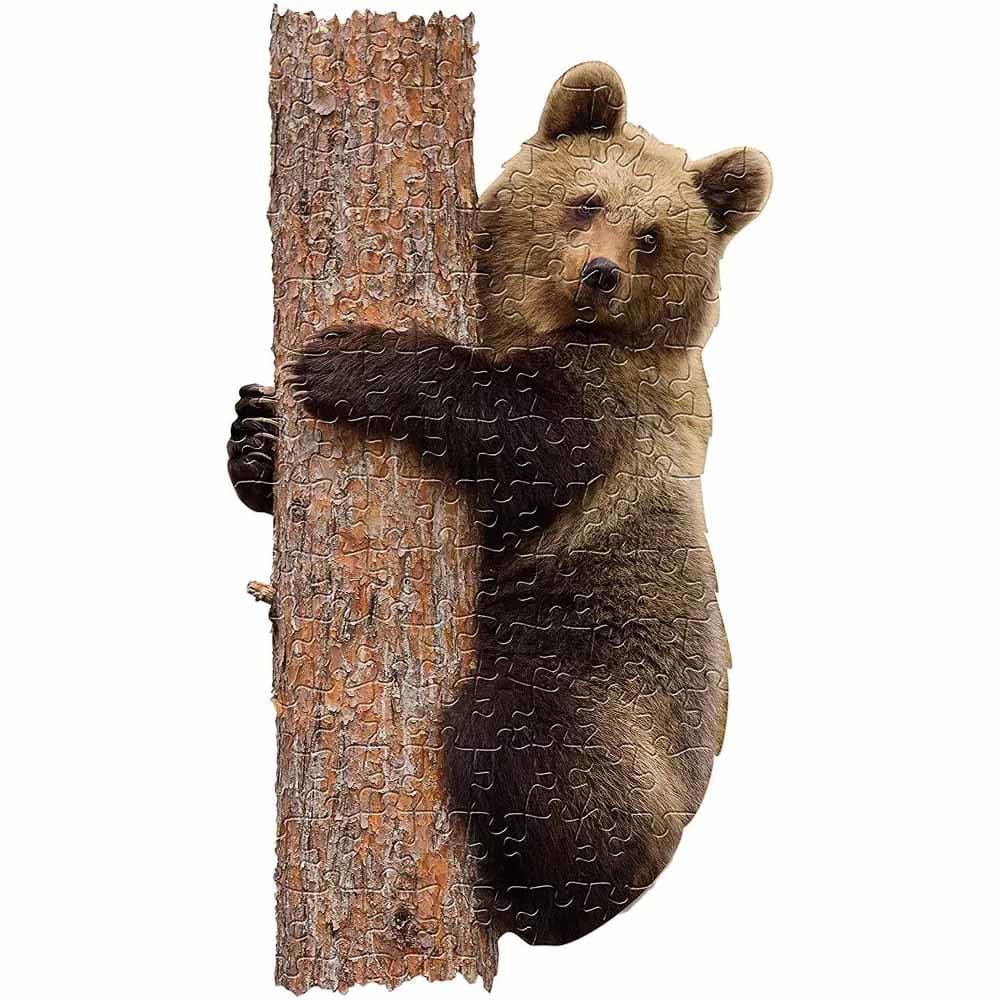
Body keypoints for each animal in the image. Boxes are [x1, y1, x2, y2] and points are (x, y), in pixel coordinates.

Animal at [228, 61, 771, 946]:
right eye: (586, 200)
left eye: (652, 236)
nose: (599, 274)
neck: (535, 322)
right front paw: (256, 435)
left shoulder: (613, 408)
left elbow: (521, 440)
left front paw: (349, 362)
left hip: (608, 696)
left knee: (521, 741)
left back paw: (539, 891)